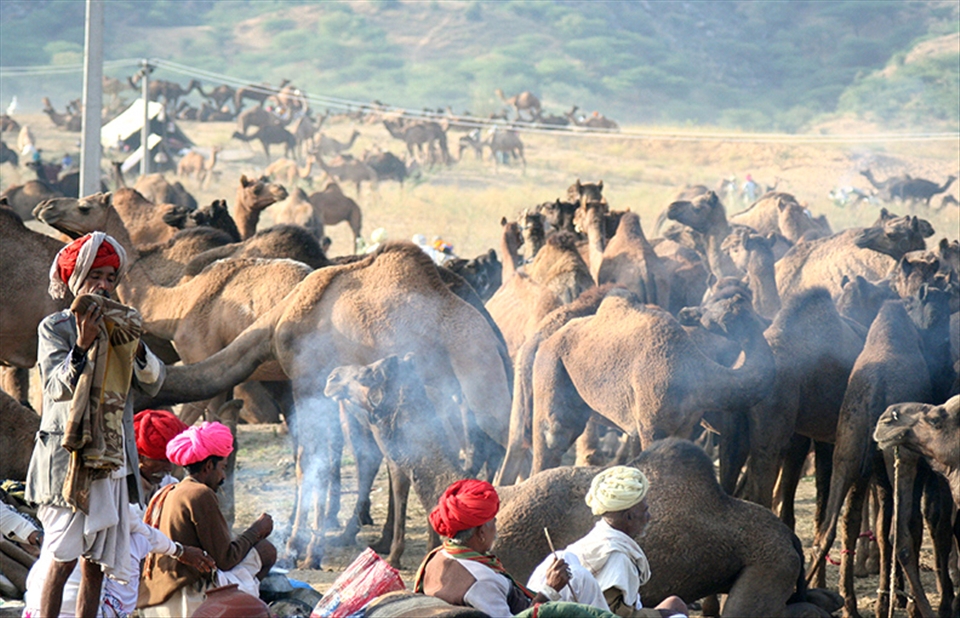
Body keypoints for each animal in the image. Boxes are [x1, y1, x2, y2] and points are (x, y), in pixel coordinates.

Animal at [529, 287, 775, 477]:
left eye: (715, 308)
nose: (687, 311)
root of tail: (547, 340)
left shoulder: (684, 425)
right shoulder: (653, 426)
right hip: (550, 368)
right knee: (552, 437)